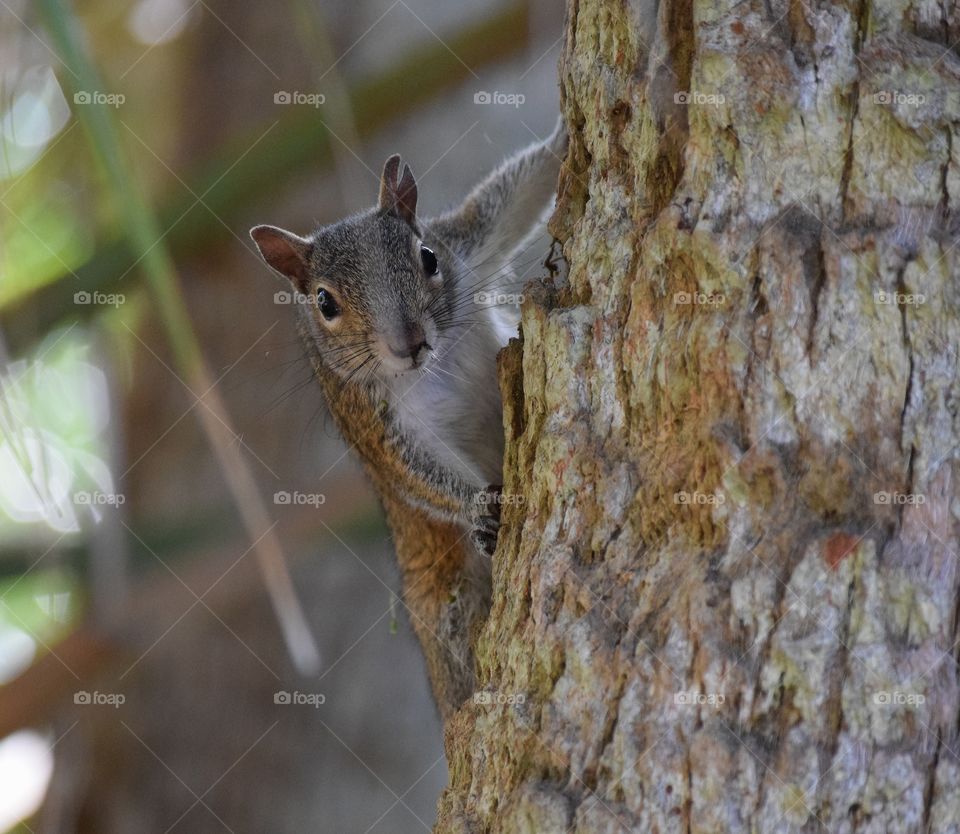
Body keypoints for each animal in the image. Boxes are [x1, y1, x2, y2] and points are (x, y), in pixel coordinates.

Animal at [250, 122, 566, 716]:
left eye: (428, 256)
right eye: (324, 303)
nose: (410, 343)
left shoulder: (466, 246)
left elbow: (517, 194)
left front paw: (565, 137)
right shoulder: (368, 416)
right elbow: (412, 468)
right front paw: (478, 506)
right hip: (445, 603)